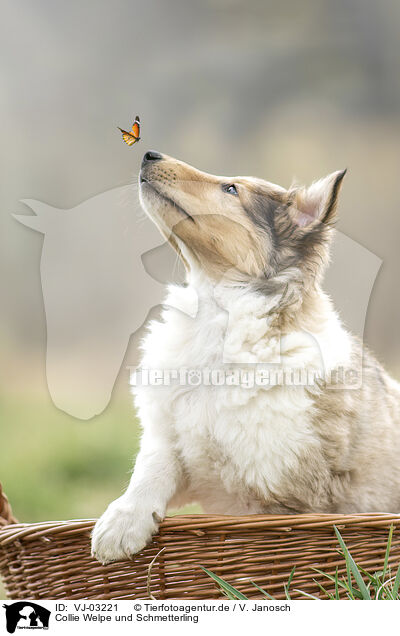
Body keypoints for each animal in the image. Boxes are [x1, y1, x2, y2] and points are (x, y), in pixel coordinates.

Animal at [92, 152, 400, 564]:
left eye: (231, 189)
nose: (149, 154)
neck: (218, 317)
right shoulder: (171, 437)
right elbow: (149, 470)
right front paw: (120, 525)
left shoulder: (282, 492)